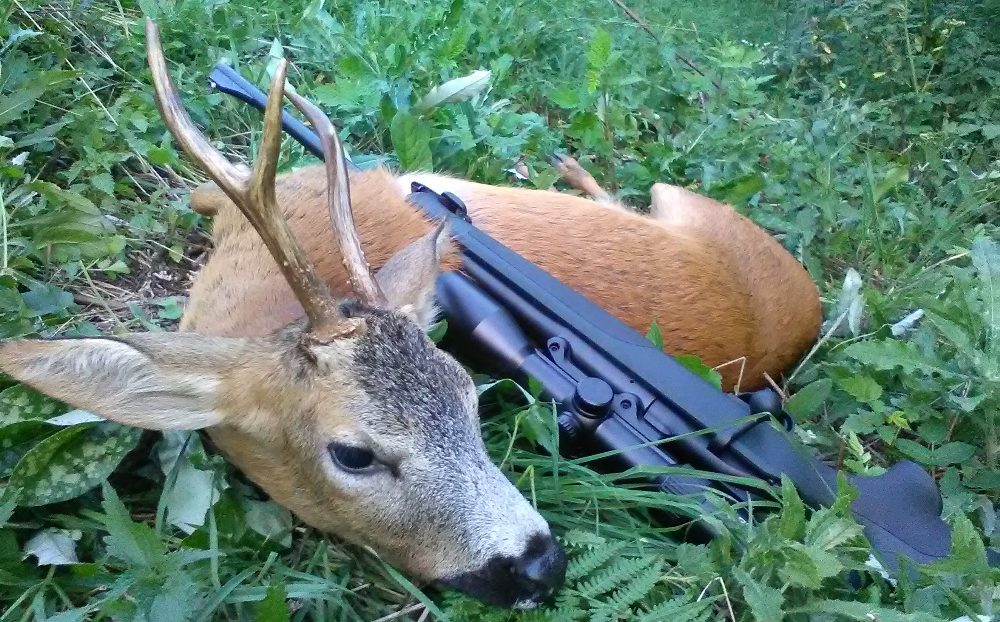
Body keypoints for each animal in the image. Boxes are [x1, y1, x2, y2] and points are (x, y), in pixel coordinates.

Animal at [0, 19, 822, 611]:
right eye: (353, 455)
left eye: (471, 400)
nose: (543, 565)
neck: (254, 280)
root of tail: (806, 313)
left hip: (686, 202)